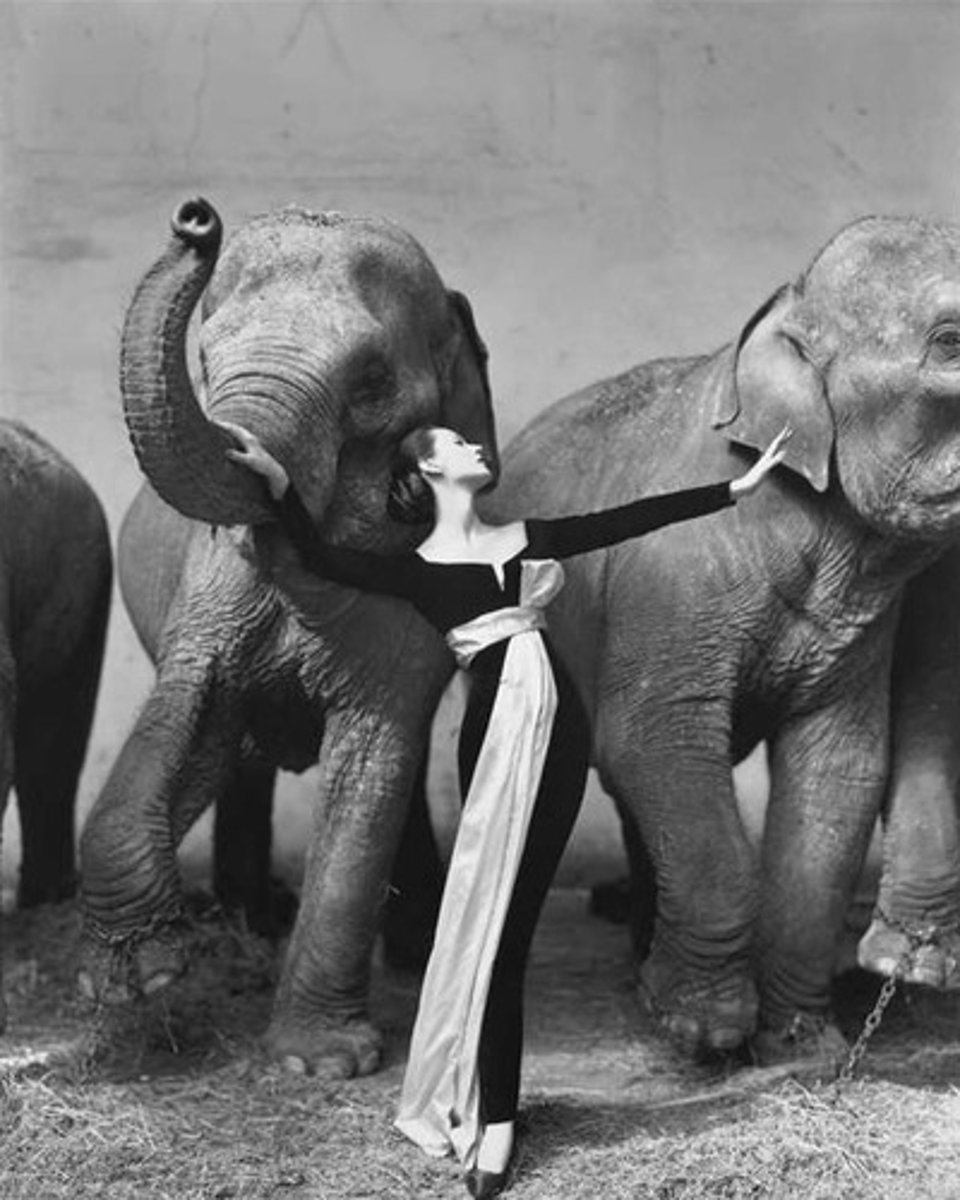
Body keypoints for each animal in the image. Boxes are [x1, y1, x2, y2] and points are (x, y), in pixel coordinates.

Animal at [77, 197, 496, 1077]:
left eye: (371, 383)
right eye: (205, 358)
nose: (196, 219)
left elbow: (374, 757)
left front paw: (317, 1065)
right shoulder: (209, 589)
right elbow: (188, 710)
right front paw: (138, 980)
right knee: (241, 762)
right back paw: (253, 922)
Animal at [474, 214, 960, 1066]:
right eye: (951, 342)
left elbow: (839, 769)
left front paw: (802, 1045)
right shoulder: (671, 578)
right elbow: (653, 738)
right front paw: (701, 1031)